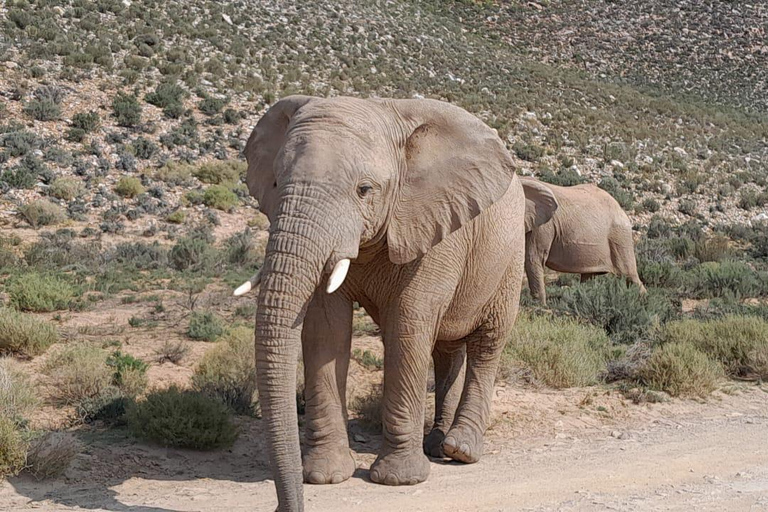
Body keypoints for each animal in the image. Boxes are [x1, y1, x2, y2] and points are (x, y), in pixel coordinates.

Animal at [236, 97, 560, 512]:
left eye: (364, 189)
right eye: (276, 182)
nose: (283, 507)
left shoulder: (435, 227)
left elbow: (408, 327)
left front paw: (398, 480)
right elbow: (325, 329)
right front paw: (324, 476)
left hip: (507, 260)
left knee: (487, 344)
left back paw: (460, 451)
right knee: (446, 351)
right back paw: (436, 445)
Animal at [520, 176, 644, 304]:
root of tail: (620, 207)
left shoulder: (543, 226)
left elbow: (533, 258)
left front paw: (540, 306)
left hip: (620, 236)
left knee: (629, 274)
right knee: (588, 277)